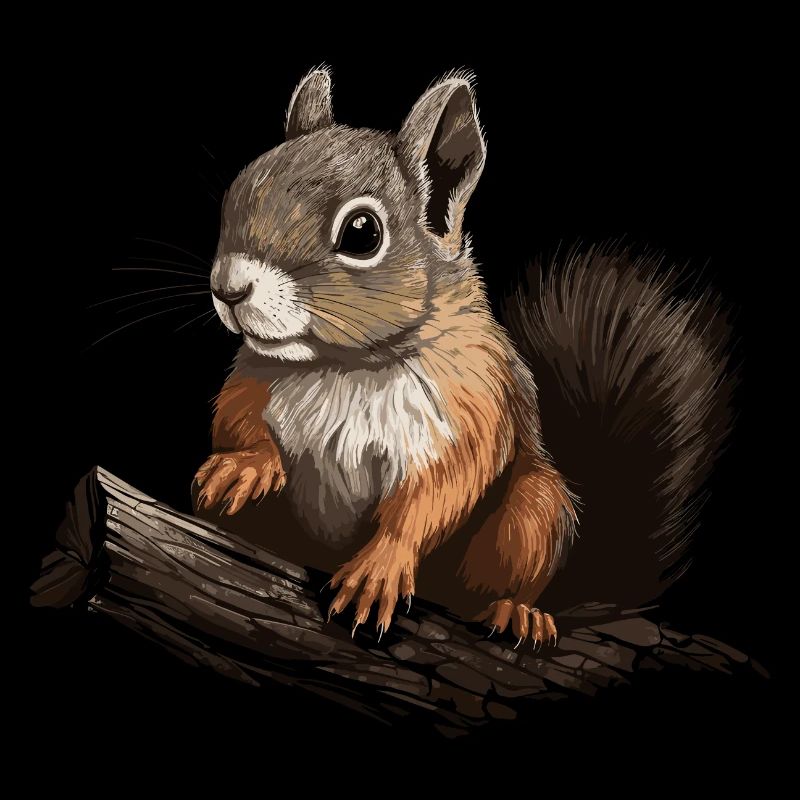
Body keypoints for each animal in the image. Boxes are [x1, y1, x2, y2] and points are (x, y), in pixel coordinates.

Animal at [192, 68, 735, 646]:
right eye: (241, 188)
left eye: (362, 233)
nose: (228, 288)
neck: (344, 365)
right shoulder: (254, 377)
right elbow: (235, 418)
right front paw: (246, 465)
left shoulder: (467, 406)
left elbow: (437, 494)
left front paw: (380, 567)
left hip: (535, 511)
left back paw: (517, 611)